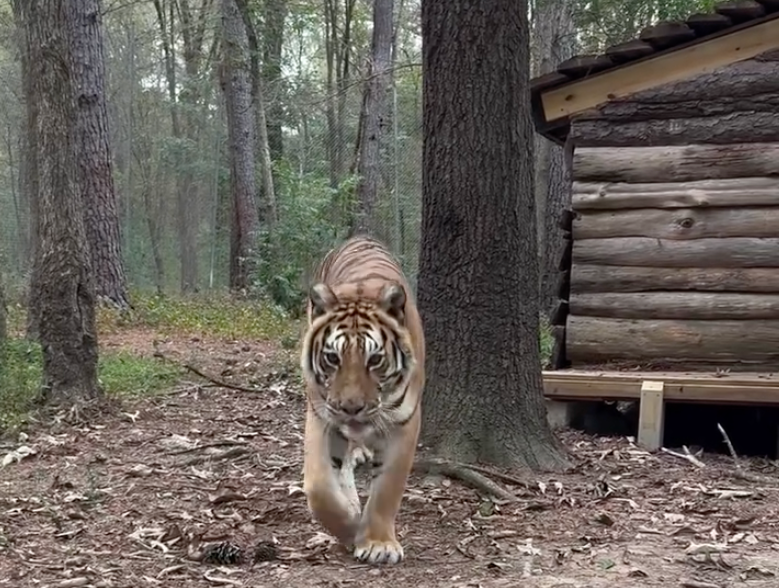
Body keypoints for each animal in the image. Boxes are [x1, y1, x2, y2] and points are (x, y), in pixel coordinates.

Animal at [300, 235, 426, 565]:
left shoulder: (405, 422)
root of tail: (360, 237)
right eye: (332, 358)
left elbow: (387, 489)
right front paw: (349, 529)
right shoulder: (321, 414)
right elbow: (319, 487)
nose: (351, 408)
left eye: (375, 359)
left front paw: (378, 543)